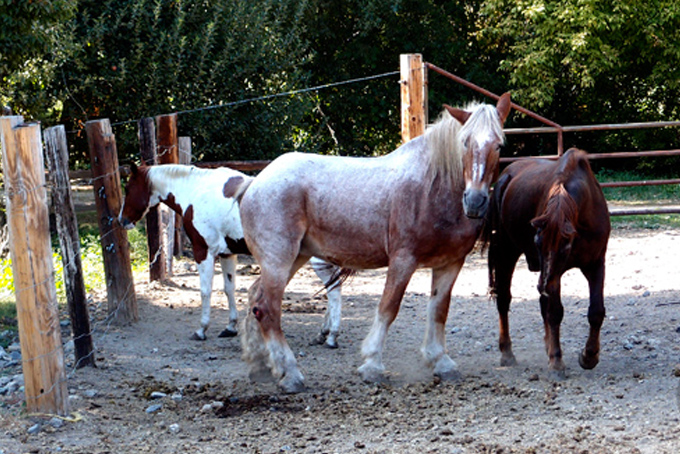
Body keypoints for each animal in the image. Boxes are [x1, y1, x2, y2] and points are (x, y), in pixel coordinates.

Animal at [118, 164, 346, 348]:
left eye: (128, 188)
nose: (122, 220)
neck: (195, 190)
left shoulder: (203, 252)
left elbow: (205, 291)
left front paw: (201, 330)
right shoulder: (227, 254)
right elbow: (229, 289)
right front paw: (230, 327)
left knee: (334, 291)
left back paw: (331, 337)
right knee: (332, 288)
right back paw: (323, 334)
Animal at [238, 93, 510, 394]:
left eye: (499, 145)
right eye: (464, 142)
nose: (475, 201)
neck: (434, 188)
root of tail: (255, 183)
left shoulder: (451, 263)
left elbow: (439, 310)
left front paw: (441, 361)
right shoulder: (403, 259)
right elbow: (388, 308)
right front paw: (372, 365)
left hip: (291, 259)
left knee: (255, 299)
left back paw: (260, 366)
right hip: (279, 259)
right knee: (268, 309)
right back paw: (291, 374)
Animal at [484, 147, 612, 378]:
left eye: (566, 245)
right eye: (537, 241)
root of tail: (505, 176)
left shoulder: (596, 264)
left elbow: (596, 311)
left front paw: (589, 356)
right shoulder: (553, 274)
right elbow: (555, 311)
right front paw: (557, 360)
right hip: (507, 252)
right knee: (504, 299)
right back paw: (507, 352)